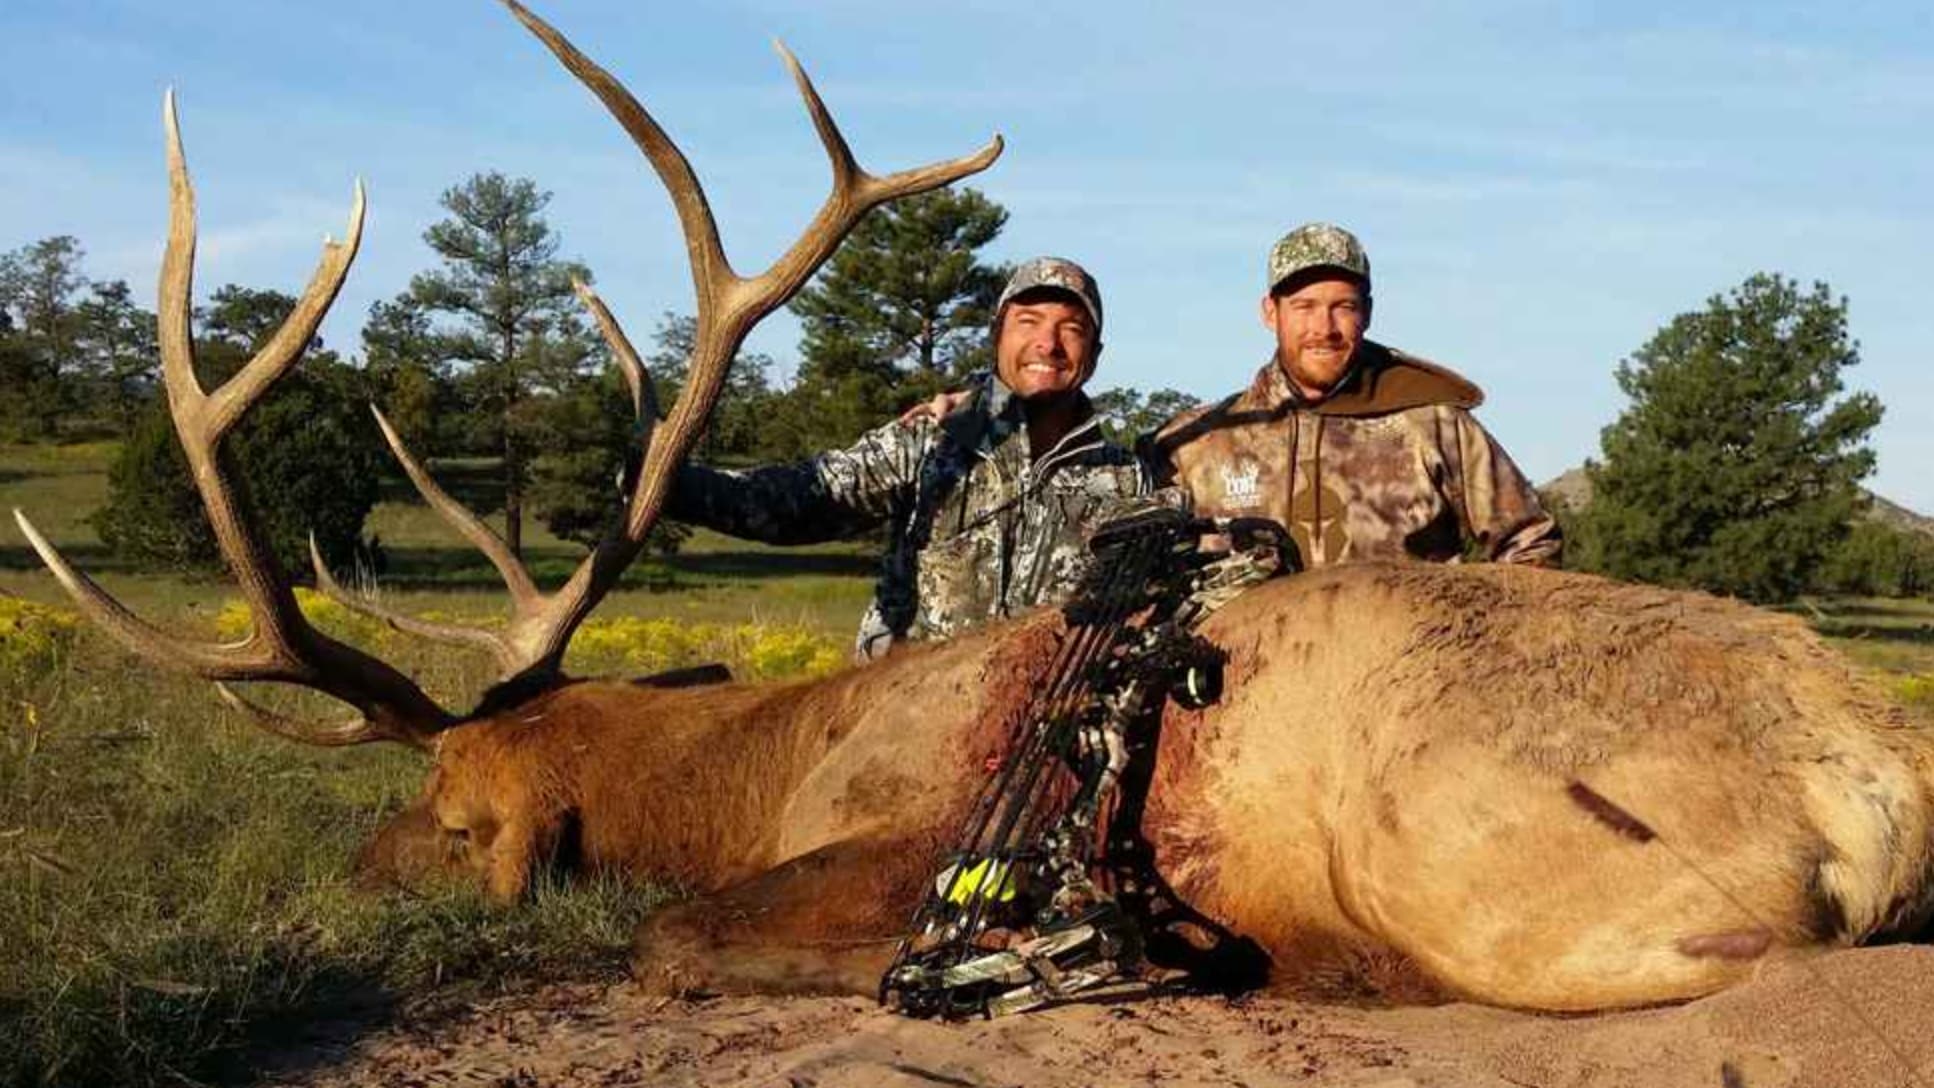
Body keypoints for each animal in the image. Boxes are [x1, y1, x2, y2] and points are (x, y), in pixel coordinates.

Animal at [16, 1, 1934, 1015]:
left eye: (443, 798)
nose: (330, 880)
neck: (752, 770)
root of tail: (1883, 774)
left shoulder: (915, 839)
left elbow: (667, 931)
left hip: (1495, 855)